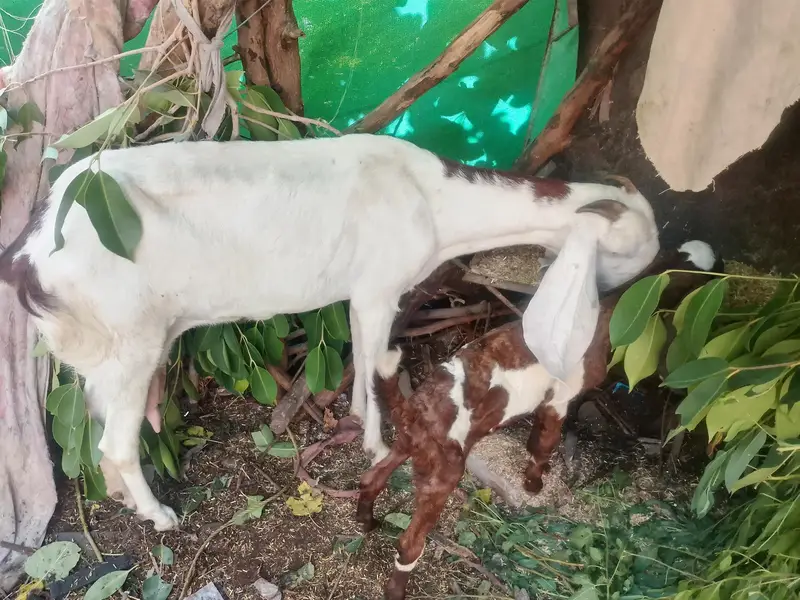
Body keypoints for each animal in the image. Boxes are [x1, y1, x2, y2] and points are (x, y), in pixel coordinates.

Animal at [0, 133, 659, 530]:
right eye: (635, 248)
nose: (627, 295)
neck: (435, 203)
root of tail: (28, 254)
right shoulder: (379, 286)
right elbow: (372, 361)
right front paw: (376, 444)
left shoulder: (359, 292)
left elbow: (364, 356)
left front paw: (360, 431)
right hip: (132, 334)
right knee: (115, 437)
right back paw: (160, 516)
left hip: (105, 344)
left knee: (94, 414)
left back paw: (117, 495)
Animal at [356, 240, 721, 600]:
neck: (609, 311)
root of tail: (416, 408)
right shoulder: (556, 402)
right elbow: (542, 445)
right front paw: (534, 484)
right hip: (442, 476)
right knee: (409, 544)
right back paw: (395, 587)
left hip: (406, 446)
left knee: (371, 478)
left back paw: (366, 522)